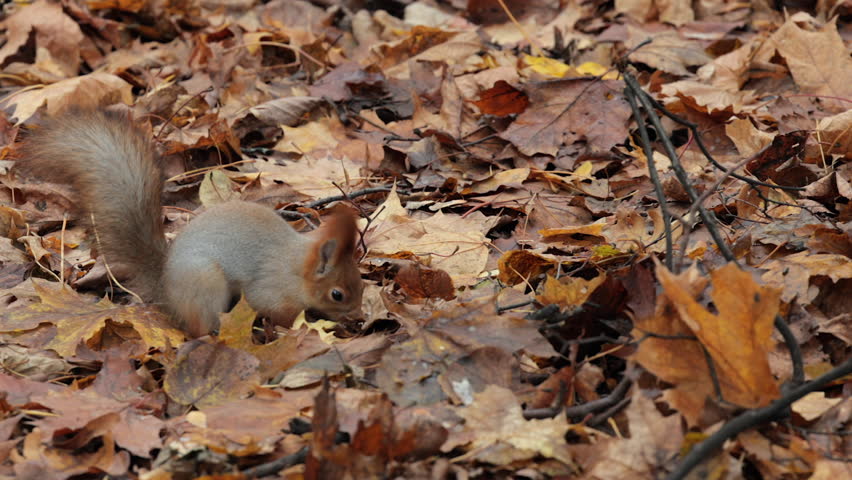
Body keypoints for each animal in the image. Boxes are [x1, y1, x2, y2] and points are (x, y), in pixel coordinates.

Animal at [16, 109, 364, 338]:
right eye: (337, 294)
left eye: (360, 280)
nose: (359, 316)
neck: (296, 266)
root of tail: (167, 289)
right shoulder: (271, 291)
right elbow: (278, 313)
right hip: (205, 283)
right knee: (199, 326)